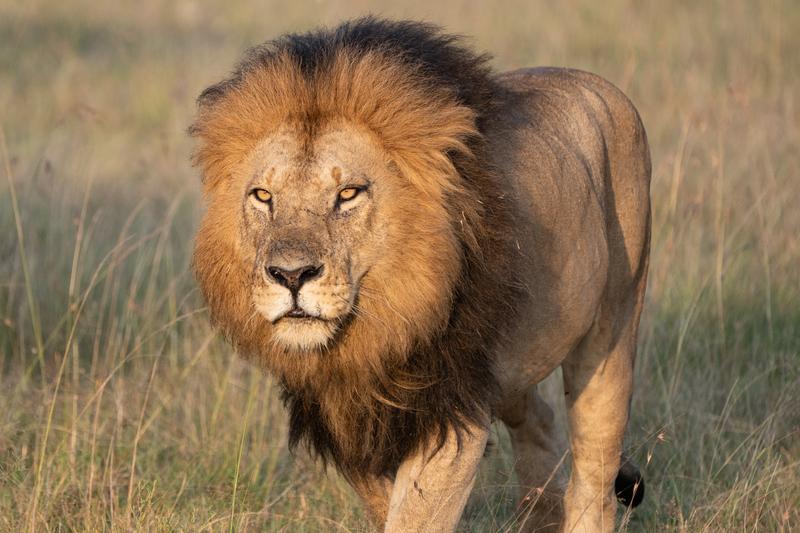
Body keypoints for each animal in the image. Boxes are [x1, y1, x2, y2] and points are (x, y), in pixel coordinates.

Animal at [190, 18, 650, 533]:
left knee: (595, 475)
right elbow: (383, 503)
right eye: (263, 196)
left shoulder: (452, 412)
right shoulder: (345, 419)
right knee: (539, 417)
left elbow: (414, 516)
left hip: (612, 332)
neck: (374, 332)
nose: (291, 275)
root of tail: (594, 81)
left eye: (348, 193)